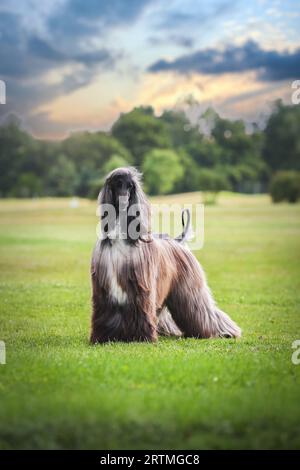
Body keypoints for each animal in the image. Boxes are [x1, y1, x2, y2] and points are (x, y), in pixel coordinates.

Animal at [89, 167, 241, 344]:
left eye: (131, 186)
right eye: (118, 183)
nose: (125, 201)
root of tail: (178, 242)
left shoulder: (141, 287)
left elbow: (142, 311)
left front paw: (143, 337)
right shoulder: (104, 289)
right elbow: (104, 314)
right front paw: (102, 337)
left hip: (189, 289)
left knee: (203, 310)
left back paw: (226, 332)